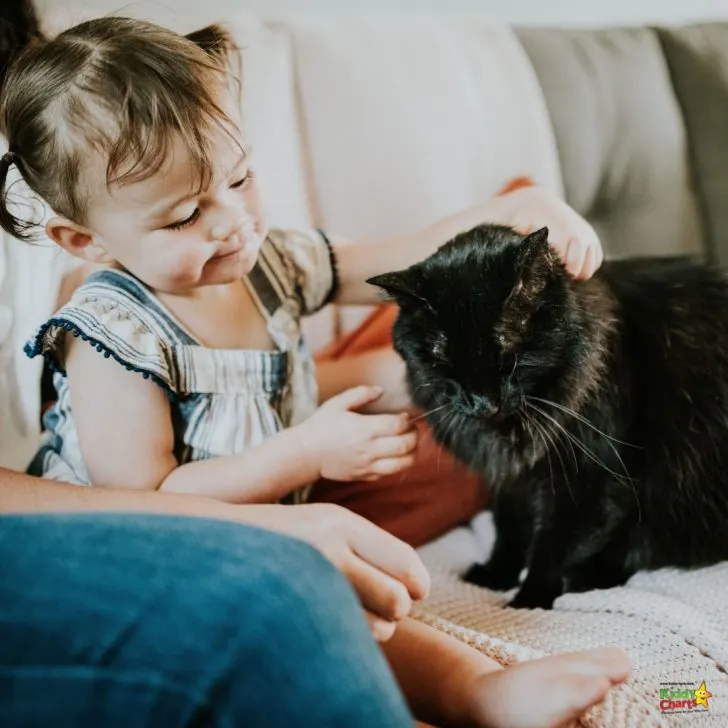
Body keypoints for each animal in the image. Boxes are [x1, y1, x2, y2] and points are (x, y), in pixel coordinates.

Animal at [366, 225, 728, 612]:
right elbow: (510, 531)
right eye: (444, 362)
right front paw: (496, 575)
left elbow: (551, 547)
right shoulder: (511, 480)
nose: (482, 403)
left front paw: (529, 601)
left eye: (506, 356)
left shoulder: (587, 479)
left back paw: (583, 578)